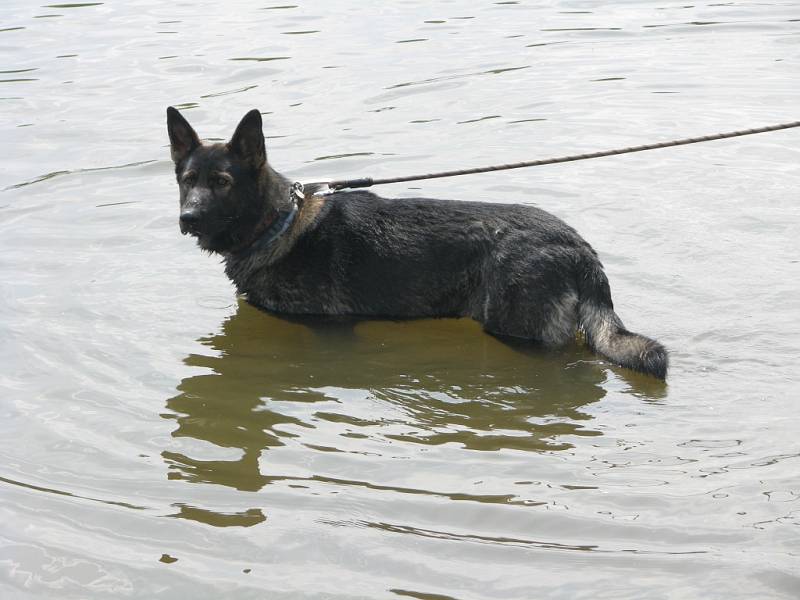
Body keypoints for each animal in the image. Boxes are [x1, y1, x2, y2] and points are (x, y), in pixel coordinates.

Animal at [167, 106, 668, 380]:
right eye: (188, 180)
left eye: (222, 182)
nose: (186, 218)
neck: (277, 221)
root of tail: (579, 246)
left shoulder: (329, 331)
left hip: (517, 332)